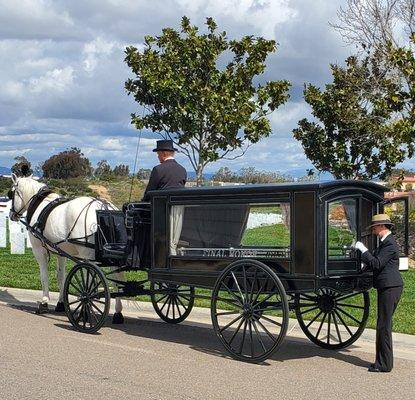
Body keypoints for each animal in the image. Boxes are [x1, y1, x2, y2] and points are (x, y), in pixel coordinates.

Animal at [8, 173, 125, 324]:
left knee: (90, 283)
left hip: (87, 257)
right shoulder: (60, 253)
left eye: (12, 193)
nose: (11, 214)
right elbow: (61, 276)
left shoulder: (39, 250)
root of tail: (104, 207)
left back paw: (86, 311)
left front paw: (44, 302)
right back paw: (117, 312)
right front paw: (61, 303)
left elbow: (44, 275)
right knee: (118, 280)